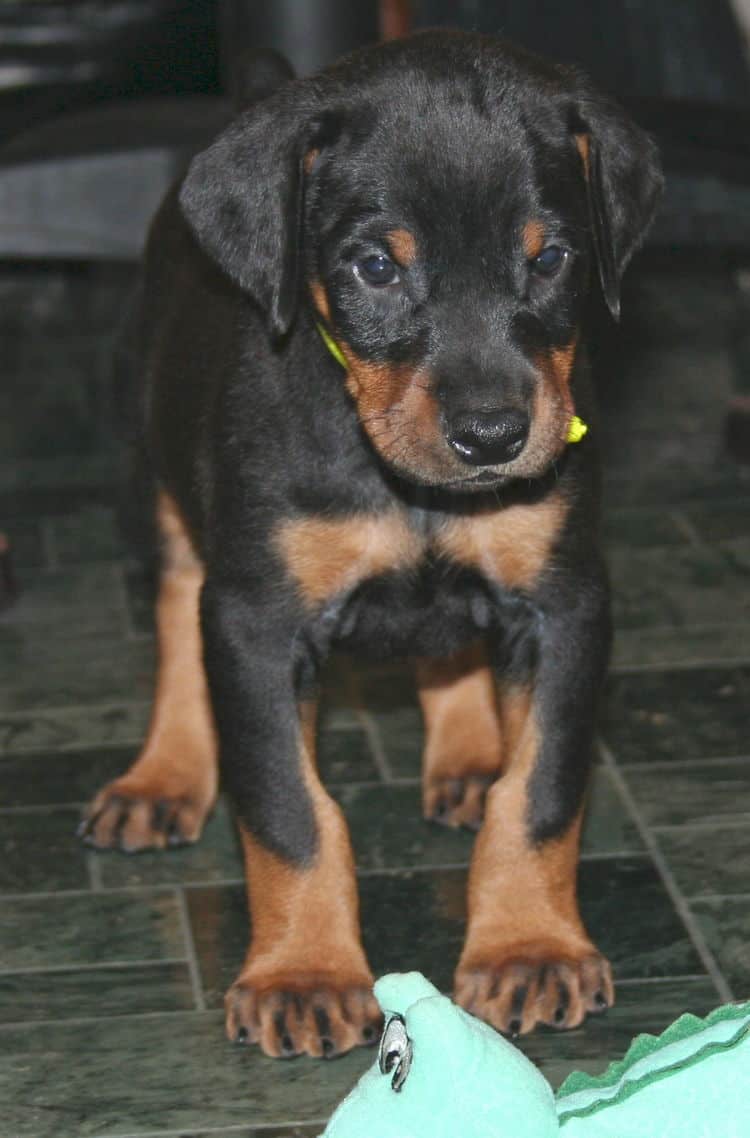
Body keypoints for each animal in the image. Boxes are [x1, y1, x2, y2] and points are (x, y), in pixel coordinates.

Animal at [77, 28, 664, 1056]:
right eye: (375, 269)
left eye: (552, 257)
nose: (492, 435)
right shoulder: (257, 622)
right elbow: (290, 810)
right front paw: (303, 973)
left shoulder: (565, 602)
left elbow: (540, 793)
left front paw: (529, 947)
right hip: (156, 480)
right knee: (176, 618)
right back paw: (166, 775)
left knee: (452, 655)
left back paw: (468, 757)